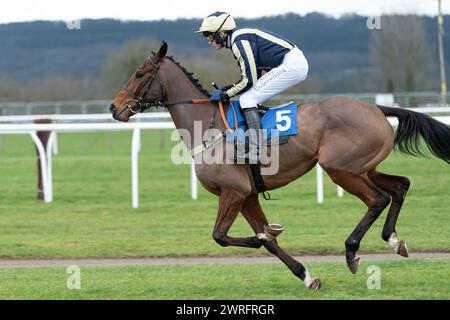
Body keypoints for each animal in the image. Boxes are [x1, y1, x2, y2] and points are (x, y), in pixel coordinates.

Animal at [109, 42, 450, 290]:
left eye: (139, 73)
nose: (114, 107)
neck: (209, 127)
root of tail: (375, 107)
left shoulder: (233, 192)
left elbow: (222, 236)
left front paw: (264, 237)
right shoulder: (247, 195)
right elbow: (269, 242)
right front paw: (306, 275)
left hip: (339, 168)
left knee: (377, 199)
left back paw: (352, 251)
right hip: (364, 167)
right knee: (400, 186)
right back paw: (394, 240)